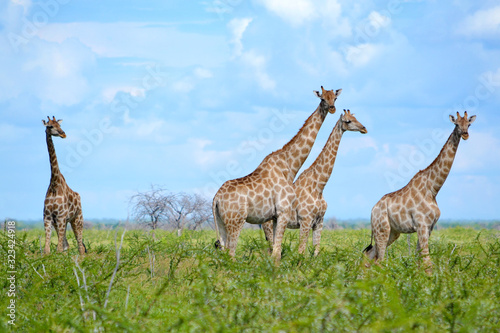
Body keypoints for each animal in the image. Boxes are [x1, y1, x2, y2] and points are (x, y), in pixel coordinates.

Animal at [43, 116, 87, 254]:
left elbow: (58, 248)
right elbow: (47, 249)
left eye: (59, 125)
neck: (54, 184)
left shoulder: (61, 217)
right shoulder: (48, 218)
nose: (63, 134)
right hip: (62, 222)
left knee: (80, 247)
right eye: (50, 126)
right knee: (67, 245)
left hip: (77, 219)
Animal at [211, 87, 340, 264]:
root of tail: (216, 198)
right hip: (235, 221)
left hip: (221, 221)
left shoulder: (275, 217)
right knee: (231, 253)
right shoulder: (284, 212)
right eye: (322, 99)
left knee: (223, 252)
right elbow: (277, 252)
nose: (332, 108)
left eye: (335, 98)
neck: (289, 166)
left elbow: (276, 251)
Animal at [262, 109, 368, 254]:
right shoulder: (305, 221)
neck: (319, 186)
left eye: (356, 118)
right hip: (268, 225)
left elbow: (316, 252)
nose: (364, 129)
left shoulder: (319, 222)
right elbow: (301, 251)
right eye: (348, 121)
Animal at [364, 111, 476, 272]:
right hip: (382, 229)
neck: (433, 189)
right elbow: (427, 262)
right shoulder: (422, 225)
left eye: (469, 124)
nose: (466, 134)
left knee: (369, 256)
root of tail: (372, 210)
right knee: (379, 260)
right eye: (456, 124)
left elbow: (420, 260)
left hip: (393, 232)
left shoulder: (429, 227)